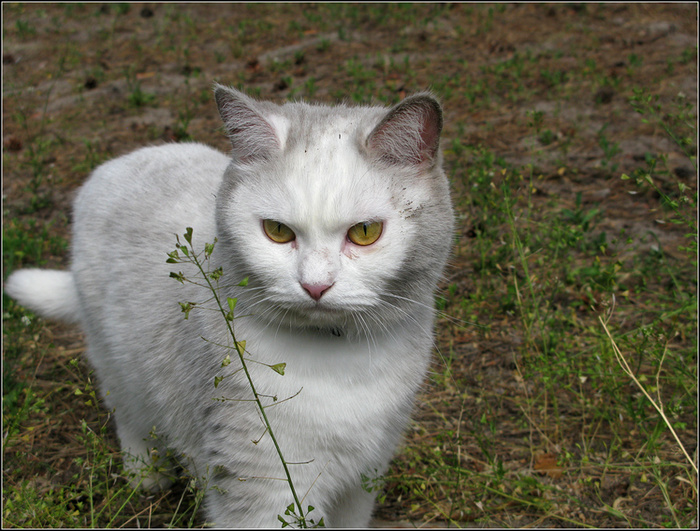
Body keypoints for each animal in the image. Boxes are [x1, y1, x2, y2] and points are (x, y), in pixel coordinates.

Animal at [5, 87, 454, 528]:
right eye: (277, 231)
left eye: (364, 232)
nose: (315, 285)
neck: (340, 363)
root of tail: (122, 161)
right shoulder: (264, 489)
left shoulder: (361, 482)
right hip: (116, 362)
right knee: (129, 413)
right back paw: (147, 473)